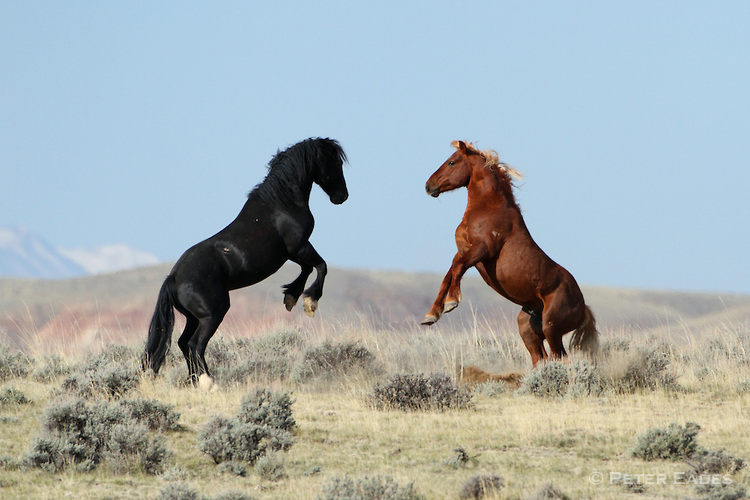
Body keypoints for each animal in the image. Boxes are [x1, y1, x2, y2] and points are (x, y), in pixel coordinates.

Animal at [144, 139, 350, 384]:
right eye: (336, 162)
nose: (342, 196)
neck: (281, 205)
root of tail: (174, 278)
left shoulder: (292, 253)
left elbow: (307, 269)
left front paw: (291, 297)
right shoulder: (299, 247)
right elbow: (321, 266)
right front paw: (310, 302)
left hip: (193, 317)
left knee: (184, 343)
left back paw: (196, 381)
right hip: (213, 314)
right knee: (195, 345)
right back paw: (208, 383)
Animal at [424, 141, 600, 368]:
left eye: (452, 162)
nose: (428, 186)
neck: (487, 207)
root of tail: (582, 306)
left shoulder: (483, 250)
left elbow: (457, 269)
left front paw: (452, 302)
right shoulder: (462, 251)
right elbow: (449, 274)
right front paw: (432, 314)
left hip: (551, 327)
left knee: (559, 357)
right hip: (528, 329)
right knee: (540, 359)